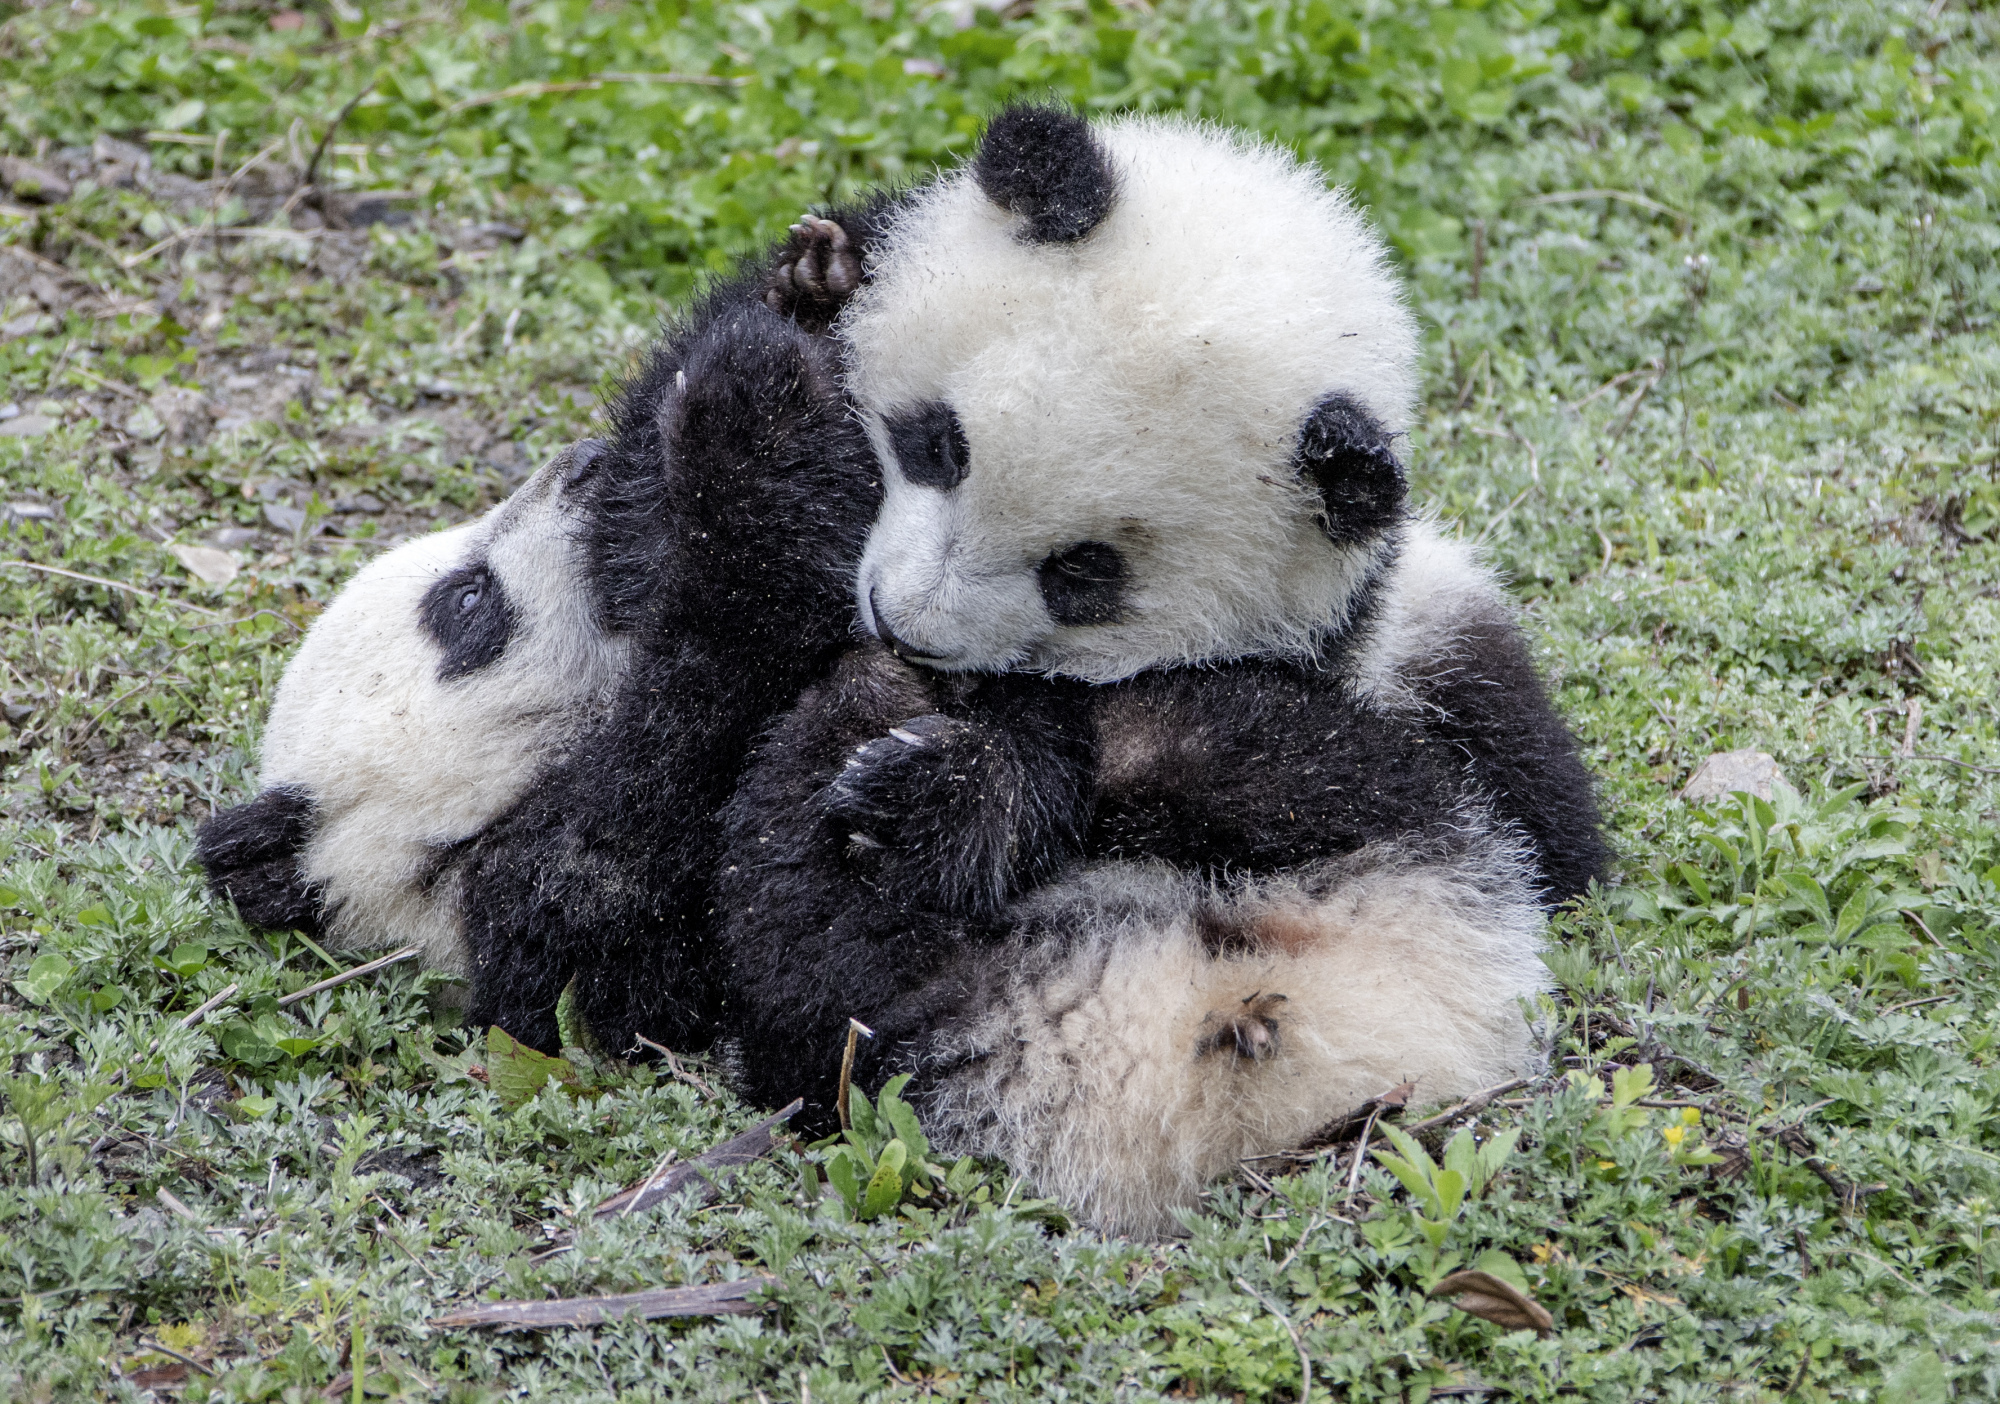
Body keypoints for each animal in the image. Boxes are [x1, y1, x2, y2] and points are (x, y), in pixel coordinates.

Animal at [720, 107, 1608, 1232]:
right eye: (936, 444)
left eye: (1082, 573)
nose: (905, 627)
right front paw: (819, 280)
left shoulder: (1395, 661)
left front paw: (957, 778)